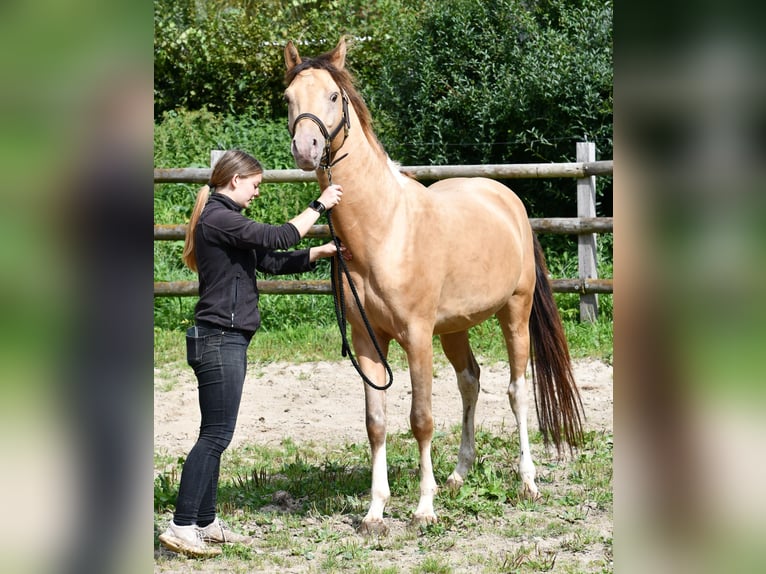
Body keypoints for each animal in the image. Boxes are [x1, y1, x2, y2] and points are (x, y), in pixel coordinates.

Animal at [283, 37, 584, 535]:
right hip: (455, 329)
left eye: (333, 95)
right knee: (471, 382)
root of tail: (509, 200)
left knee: (517, 390)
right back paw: (459, 474)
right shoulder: (367, 341)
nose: (307, 148)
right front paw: (375, 511)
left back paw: (527, 481)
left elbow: (421, 419)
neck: (385, 228)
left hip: (514, 313)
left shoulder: (418, 337)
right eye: (288, 98)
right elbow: (376, 423)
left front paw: (424, 507)